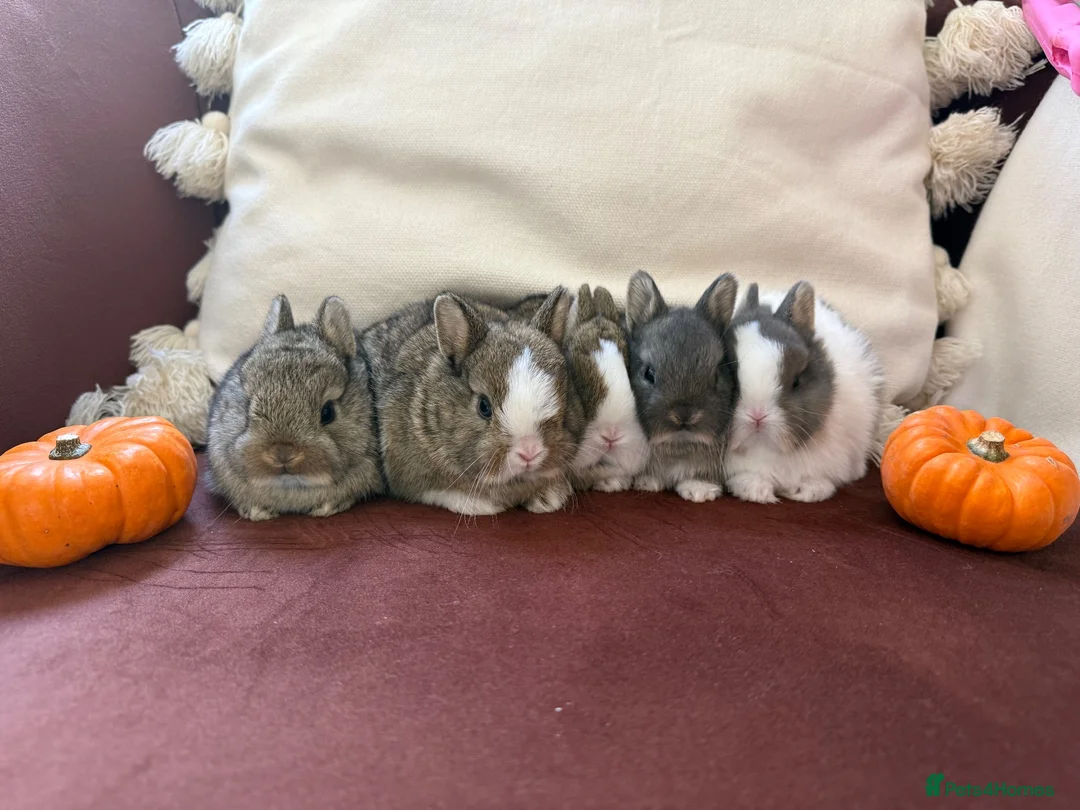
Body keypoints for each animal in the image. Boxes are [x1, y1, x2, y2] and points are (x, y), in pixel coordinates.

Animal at [625, 270, 739, 503]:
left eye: (716, 374)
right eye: (648, 373)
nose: (684, 415)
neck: (679, 445)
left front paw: (700, 491)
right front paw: (648, 483)